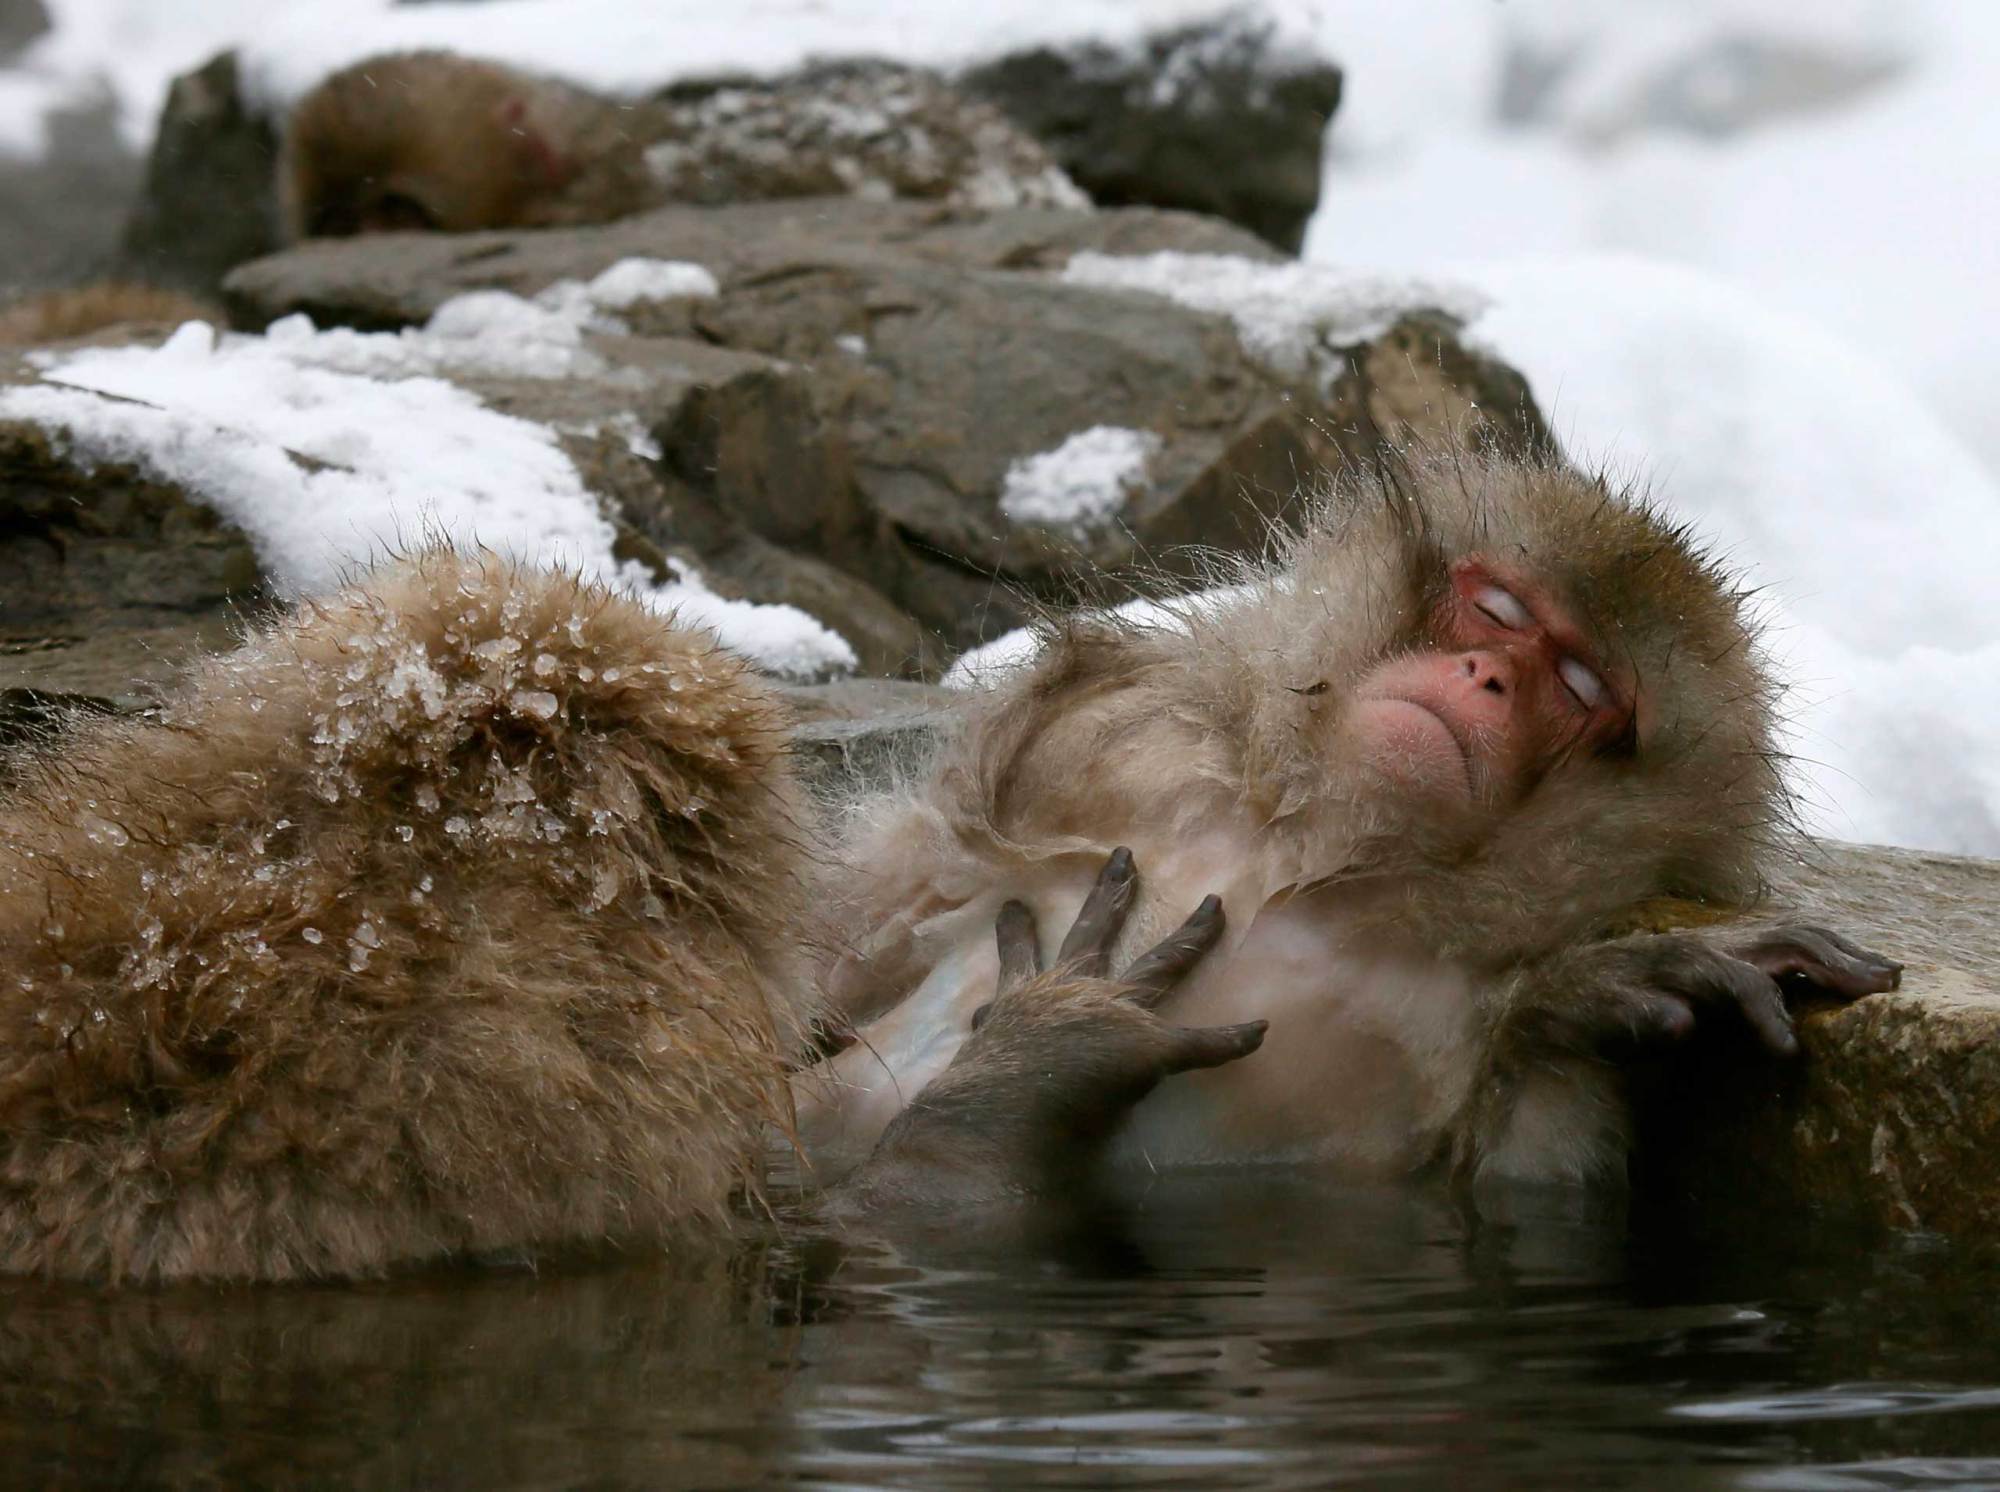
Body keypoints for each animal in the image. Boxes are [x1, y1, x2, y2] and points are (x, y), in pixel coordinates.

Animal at [797, 447, 1902, 1187]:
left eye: (1580, 685)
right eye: (1497, 612)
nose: (1487, 675)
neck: (1306, 848)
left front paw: (1569, 1001)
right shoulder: (1088, 738)